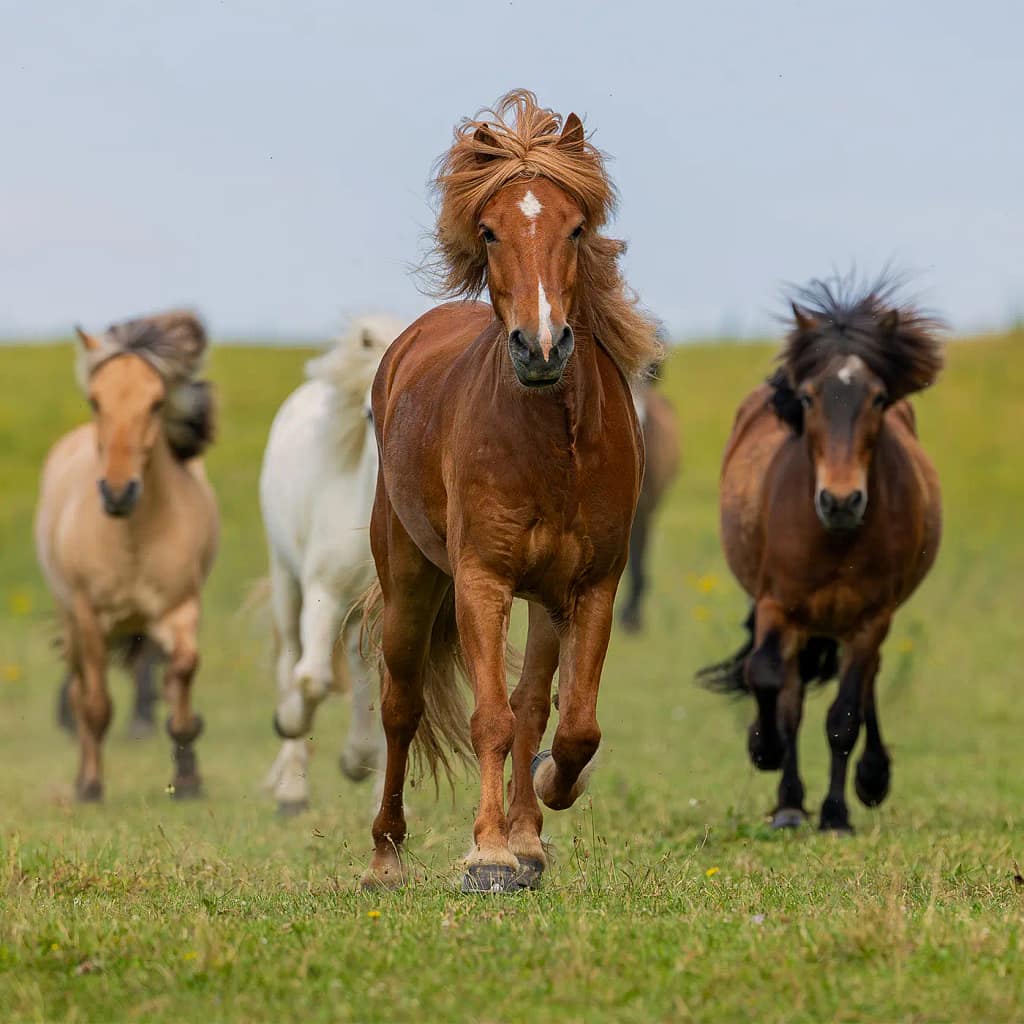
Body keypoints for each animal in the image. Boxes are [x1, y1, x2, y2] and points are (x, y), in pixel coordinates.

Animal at [34, 312, 219, 801]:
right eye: (95, 401)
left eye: (157, 403)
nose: (118, 493)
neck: (131, 537)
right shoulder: (89, 617)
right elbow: (95, 705)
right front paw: (90, 787)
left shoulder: (180, 607)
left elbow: (183, 676)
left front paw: (188, 776)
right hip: (71, 623)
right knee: (80, 693)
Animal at [260, 314, 403, 814]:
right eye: (369, 413)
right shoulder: (324, 592)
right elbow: (312, 679)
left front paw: (365, 770)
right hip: (288, 584)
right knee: (290, 663)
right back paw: (290, 788)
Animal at [361, 90, 661, 893]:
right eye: (490, 231)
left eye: (577, 227)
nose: (541, 345)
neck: (552, 444)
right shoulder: (482, 580)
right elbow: (490, 718)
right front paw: (487, 854)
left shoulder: (591, 585)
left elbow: (571, 723)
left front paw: (539, 812)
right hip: (409, 581)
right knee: (401, 706)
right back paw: (385, 856)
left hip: (546, 600)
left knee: (533, 704)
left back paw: (529, 834)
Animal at [698, 277, 943, 832]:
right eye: (808, 398)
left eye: (878, 397)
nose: (840, 501)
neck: (835, 539)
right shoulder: (778, 605)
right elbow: (770, 681)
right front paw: (765, 753)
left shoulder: (871, 618)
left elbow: (844, 717)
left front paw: (836, 814)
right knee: (789, 691)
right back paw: (789, 799)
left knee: (866, 683)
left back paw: (870, 779)